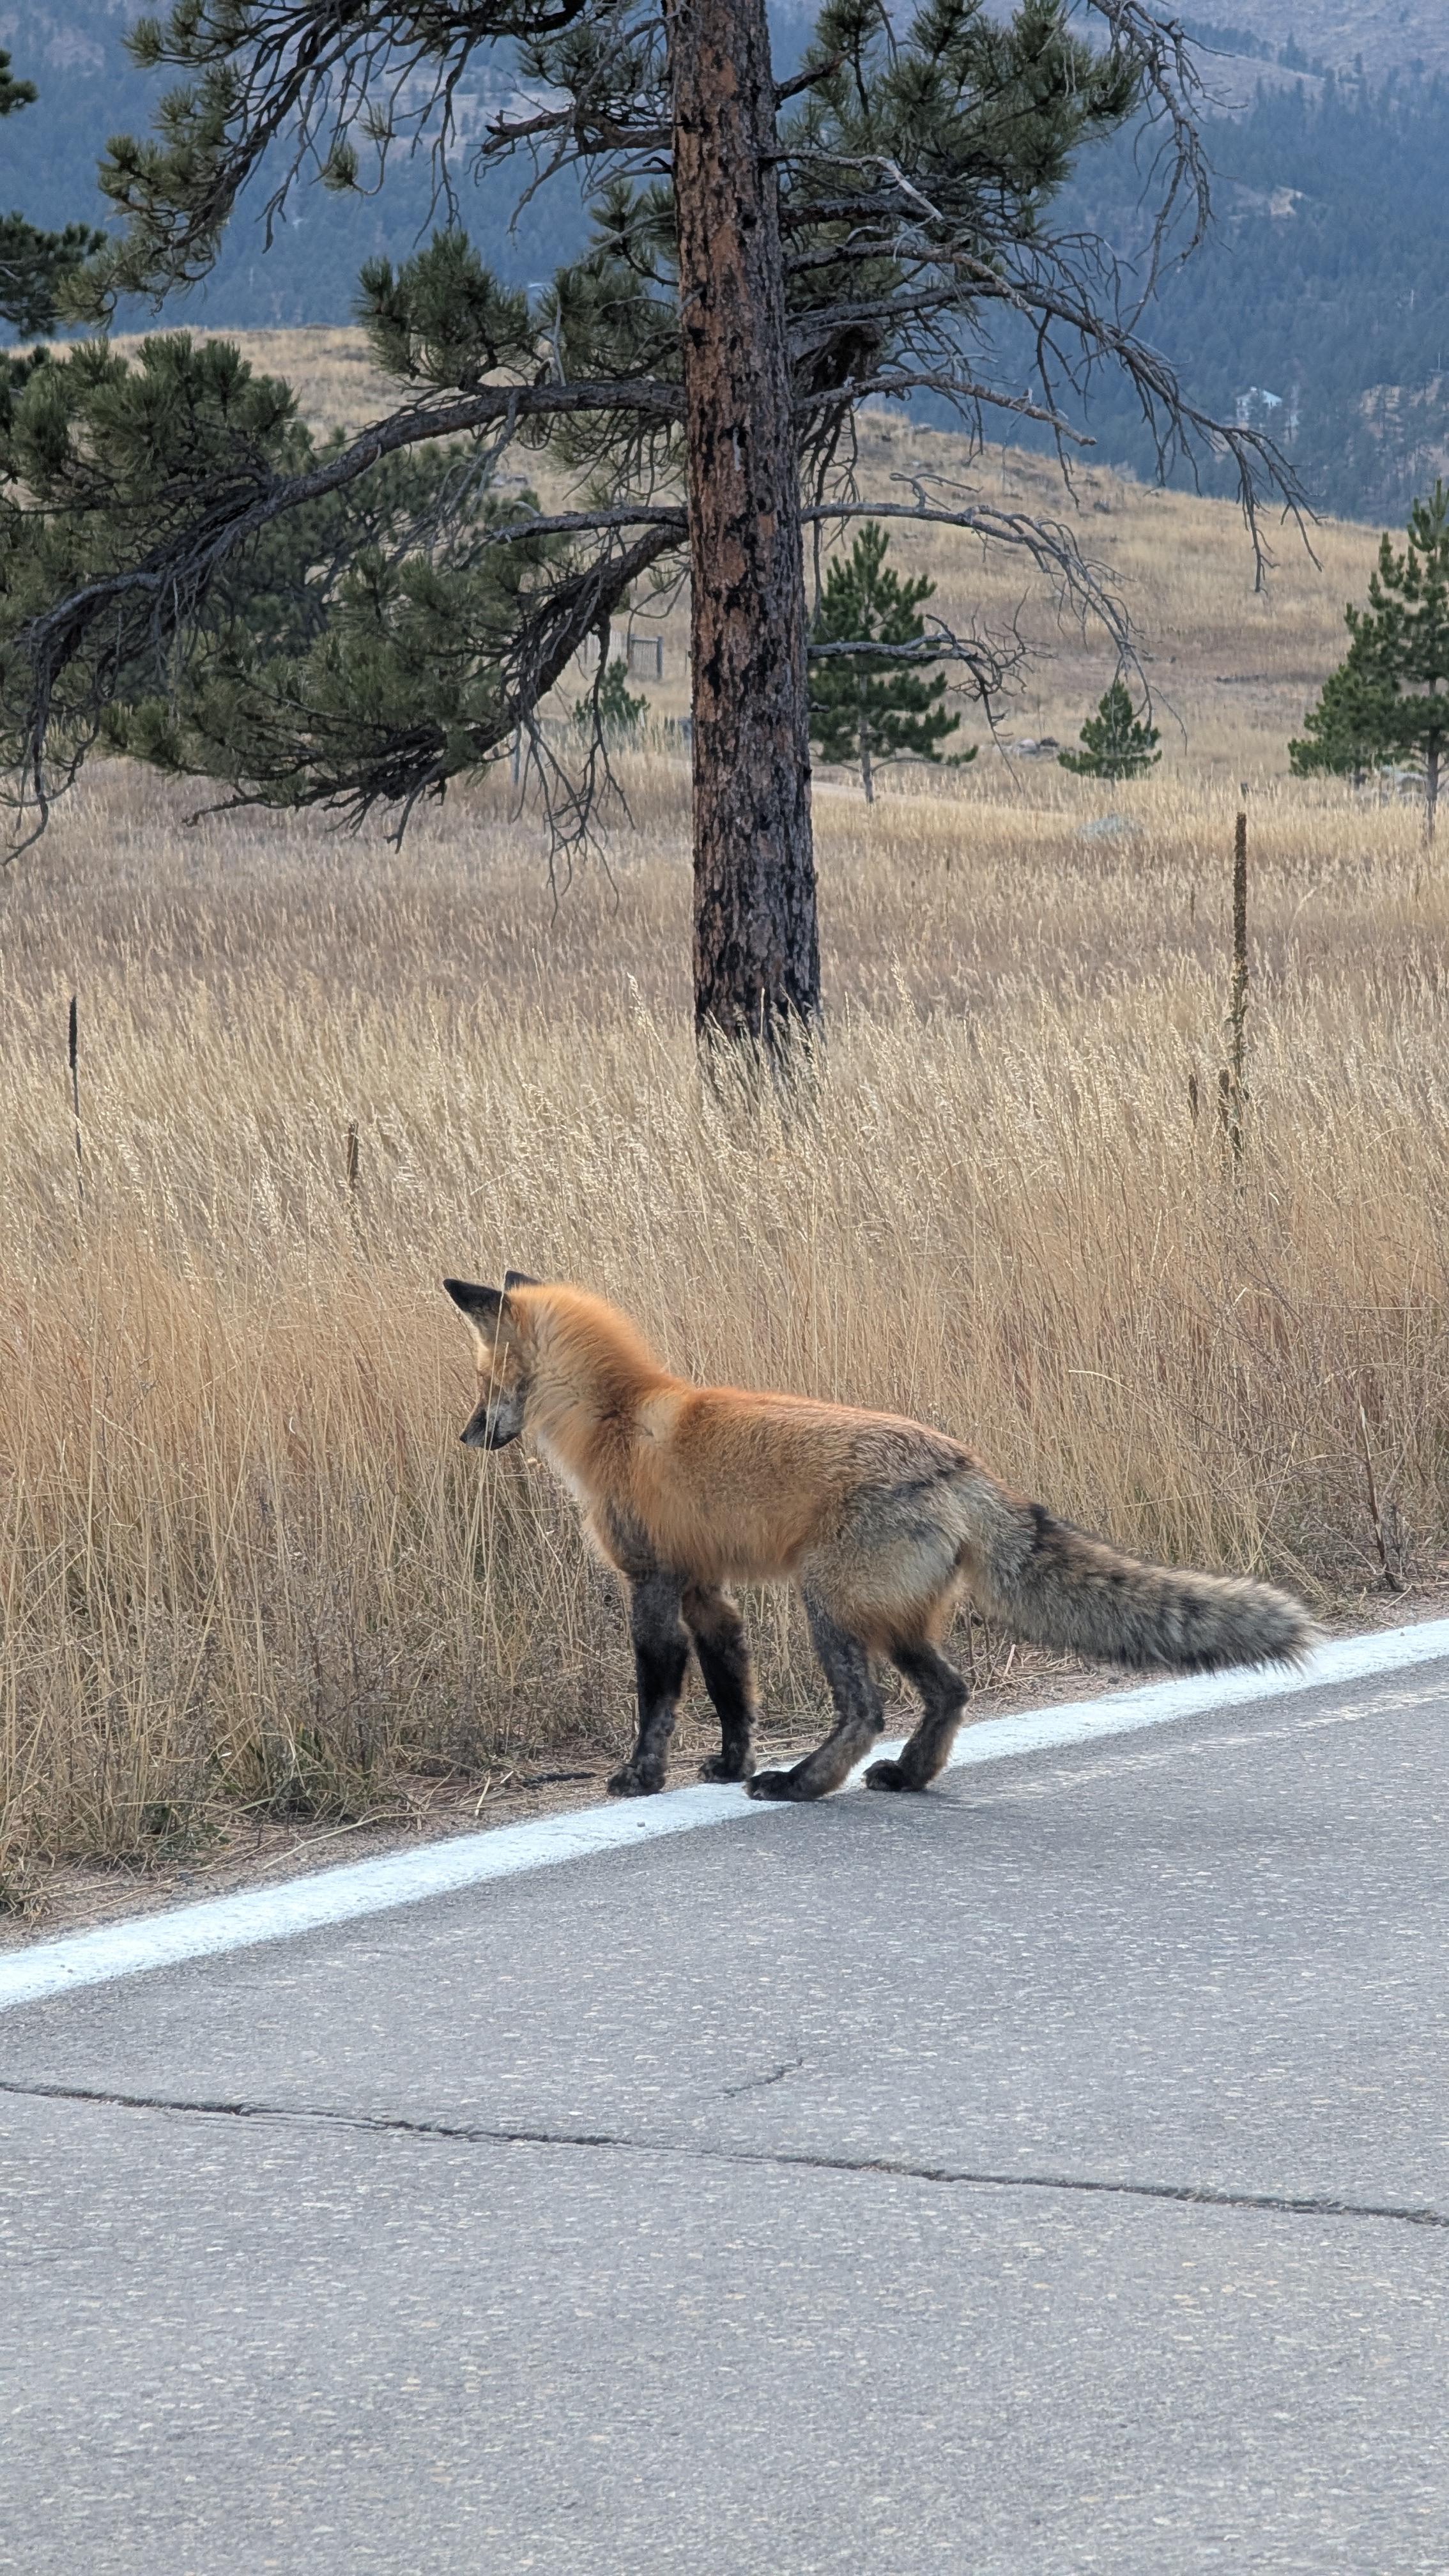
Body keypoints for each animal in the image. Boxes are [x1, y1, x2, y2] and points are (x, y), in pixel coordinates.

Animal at [443, 1274, 1315, 1804]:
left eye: (483, 1385)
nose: (465, 1436)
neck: (618, 1420)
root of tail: (961, 1462)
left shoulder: (652, 1583)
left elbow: (657, 1697)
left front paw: (643, 1776)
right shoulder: (706, 1591)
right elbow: (732, 1691)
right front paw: (728, 1765)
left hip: (828, 1604)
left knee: (865, 1711)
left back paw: (801, 1784)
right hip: (894, 1620)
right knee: (951, 1691)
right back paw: (907, 1775)